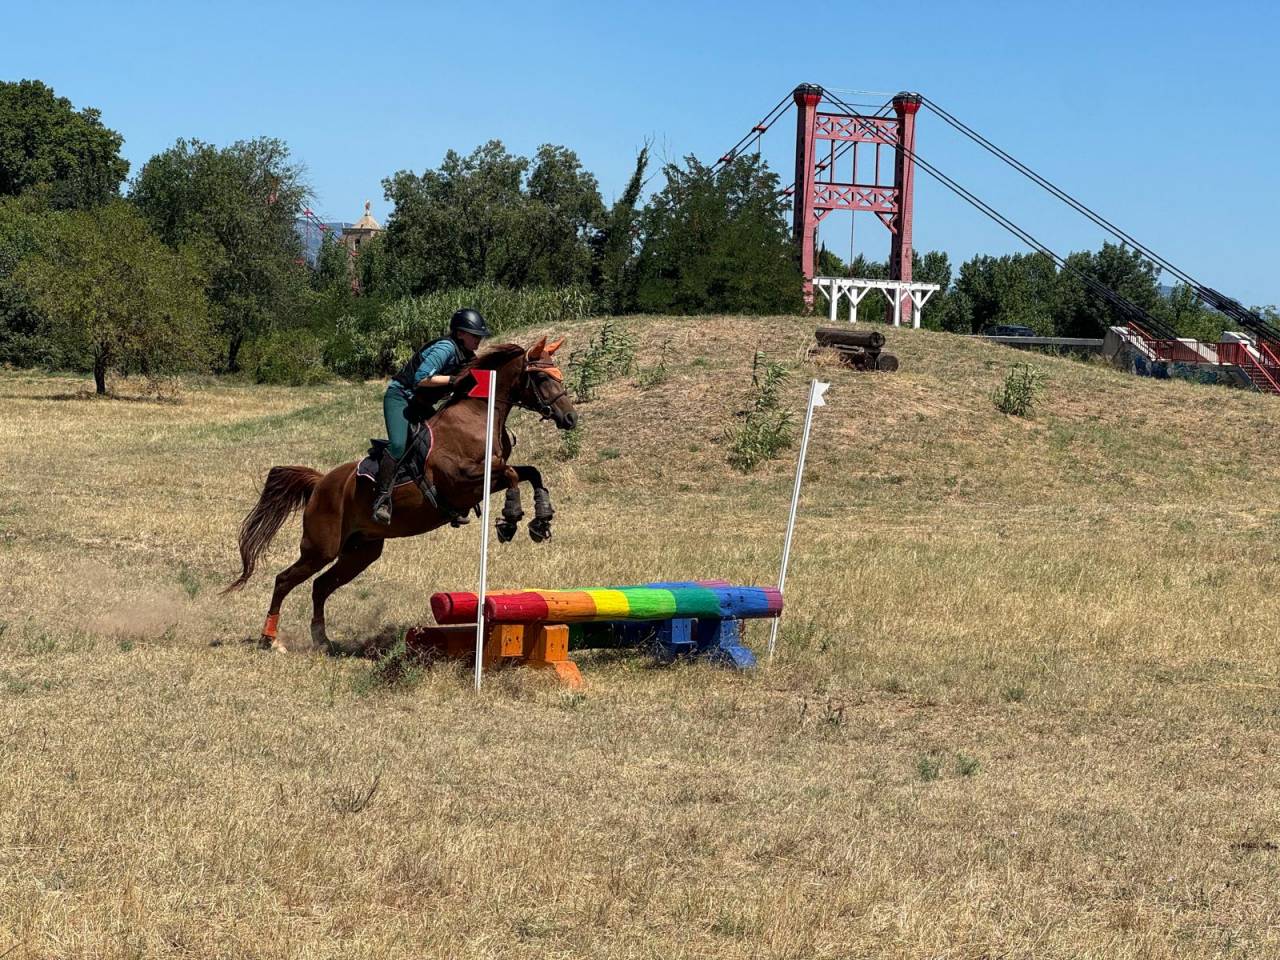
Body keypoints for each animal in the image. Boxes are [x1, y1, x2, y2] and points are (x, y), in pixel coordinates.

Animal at [223, 337, 578, 653]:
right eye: (542, 377)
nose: (571, 418)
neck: (479, 415)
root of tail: (321, 483)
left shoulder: (487, 480)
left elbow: (531, 472)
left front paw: (541, 520)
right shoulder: (462, 481)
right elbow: (514, 474)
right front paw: (510, 518)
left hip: (361, 551)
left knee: (320, 586)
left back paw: (322, 640)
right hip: (321, 548)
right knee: (284, 580)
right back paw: (269, 639)